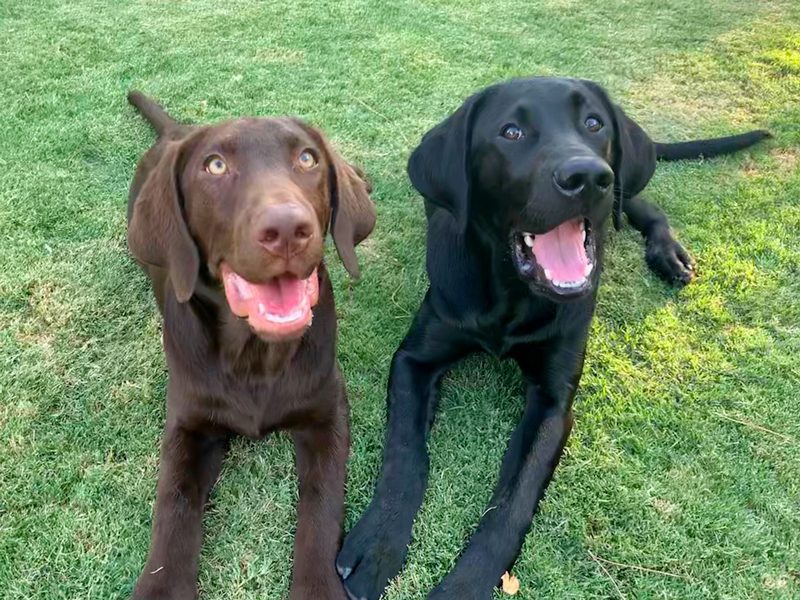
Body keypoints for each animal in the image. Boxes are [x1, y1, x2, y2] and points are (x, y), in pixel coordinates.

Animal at [336, 77, 768, 596]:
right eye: (511, 131)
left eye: (594, 123)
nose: (587, 176)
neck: (511, 296)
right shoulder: (414, 359)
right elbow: (404, 455)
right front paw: (378, 543)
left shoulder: (554, 400)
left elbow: (513, 503)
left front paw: (465, 585)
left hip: (623, 189)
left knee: (639, 205)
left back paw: (670, 254)